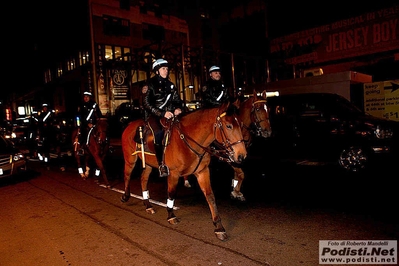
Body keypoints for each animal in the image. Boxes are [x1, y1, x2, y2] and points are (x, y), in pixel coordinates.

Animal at [120, 102, 248, 241]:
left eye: (241, 124)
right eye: (229, 126)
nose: (242, 155)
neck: (187, 140)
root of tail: (130, 124)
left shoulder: (202, 172)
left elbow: (210, 196)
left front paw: (219, 227)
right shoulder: (173, 174)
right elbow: (171, 193)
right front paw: (171, 215)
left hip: (148, 164)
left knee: (143, 179)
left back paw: (148, 205)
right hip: (130, 159)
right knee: (127, 175)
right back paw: (125, 196)